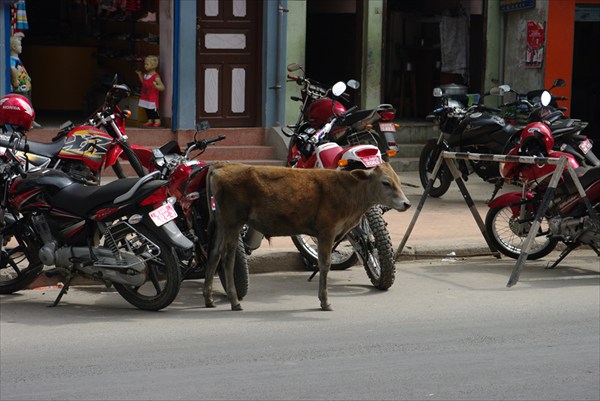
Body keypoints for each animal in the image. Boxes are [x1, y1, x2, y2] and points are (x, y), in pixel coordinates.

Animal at [204, 161, 410, 310]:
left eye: (399, 182)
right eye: (385, 182)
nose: (406, 204)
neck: (349, 193)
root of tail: (223, 166)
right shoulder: (327, 230)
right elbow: (325, 264)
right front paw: (325, 302)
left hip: (221, 221)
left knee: (214, 253)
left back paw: (209, 299)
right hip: (233, 222)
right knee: (227, 258)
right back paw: (235, 302)